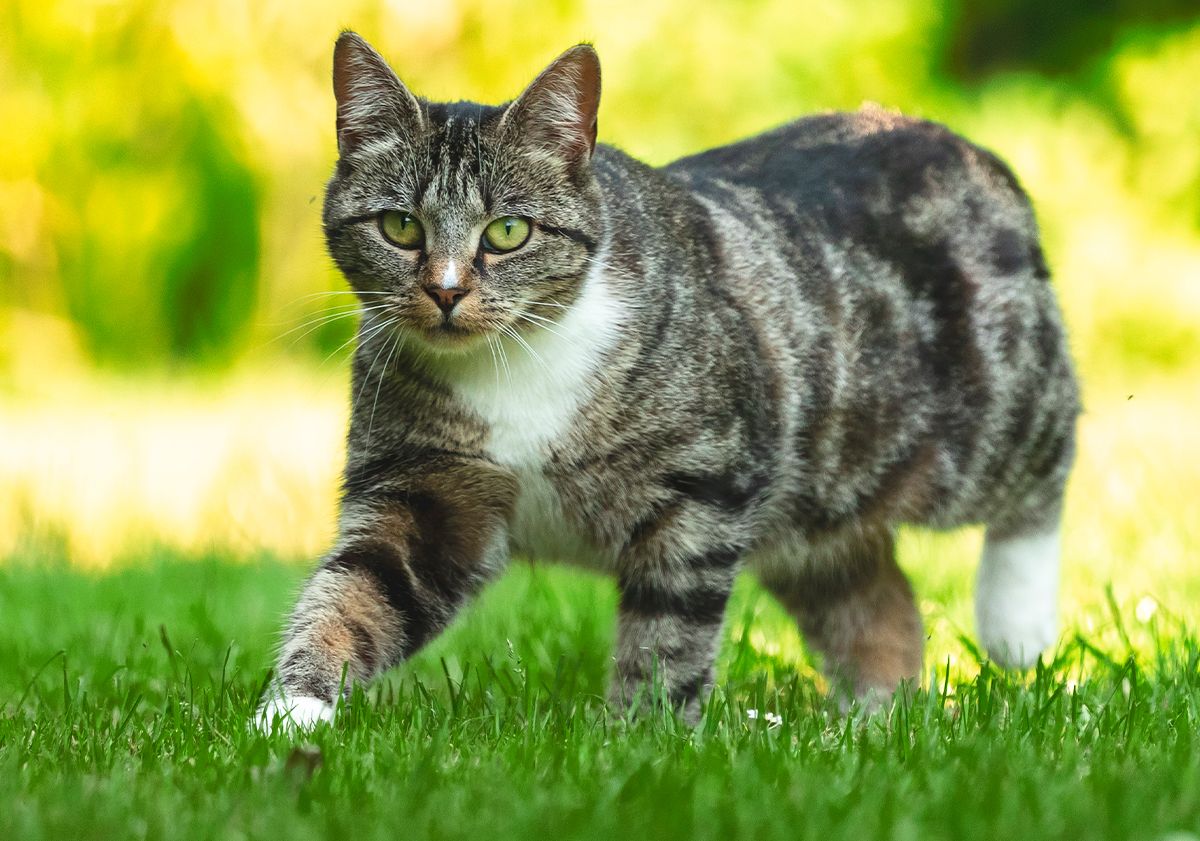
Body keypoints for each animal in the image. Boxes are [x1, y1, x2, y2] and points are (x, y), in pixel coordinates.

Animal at [258, 31, 1084, 729]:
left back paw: (1016, 624)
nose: (446, 291)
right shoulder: (426, 491)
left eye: (507, 232)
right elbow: (357, 591)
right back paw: (866, 722)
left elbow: (669, 630)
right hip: (814, 505)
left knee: (1049, 459)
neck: (509, 367)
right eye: (399, 226)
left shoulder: (705, 487)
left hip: (986, 417)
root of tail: (966, 148)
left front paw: (643, 737)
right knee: (880, 602)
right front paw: (294, 711)